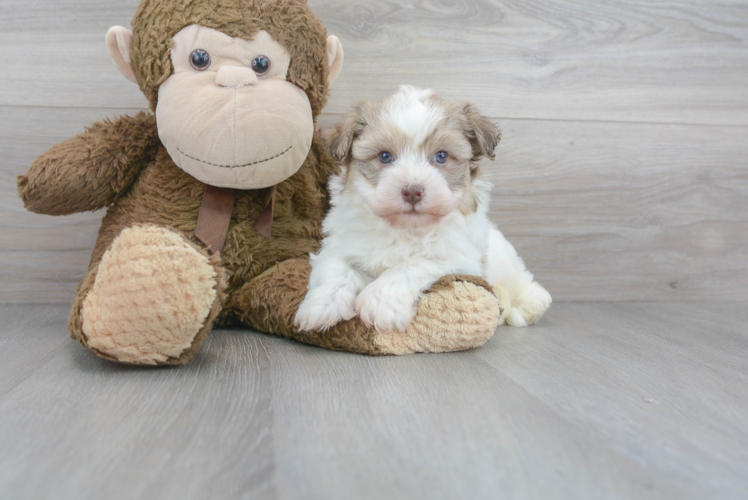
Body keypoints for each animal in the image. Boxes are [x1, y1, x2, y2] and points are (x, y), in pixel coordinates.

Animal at [296, 87, 552, 334]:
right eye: (385, 156)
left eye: (441, 156)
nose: (412, 191)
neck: (405, 228)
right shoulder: (340, 245)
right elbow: (337, 269)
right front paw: (322, 305)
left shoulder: (458, 258)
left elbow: (413, 264)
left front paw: (381, 302)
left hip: (503, 258)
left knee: (521, 281)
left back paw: (528, 304)